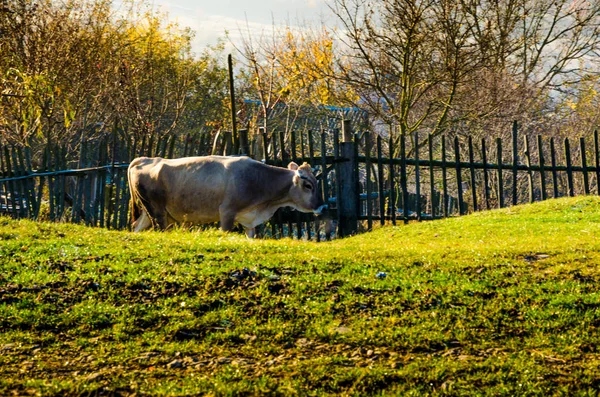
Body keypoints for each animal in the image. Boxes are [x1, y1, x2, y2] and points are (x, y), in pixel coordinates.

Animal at [127, 154, 328, 235]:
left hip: (147, 213)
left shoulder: (248, 221)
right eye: (308, 185)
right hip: (157, 212)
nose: (322, 206)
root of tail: (146, 159)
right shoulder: (227, 212)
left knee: (136, 227)